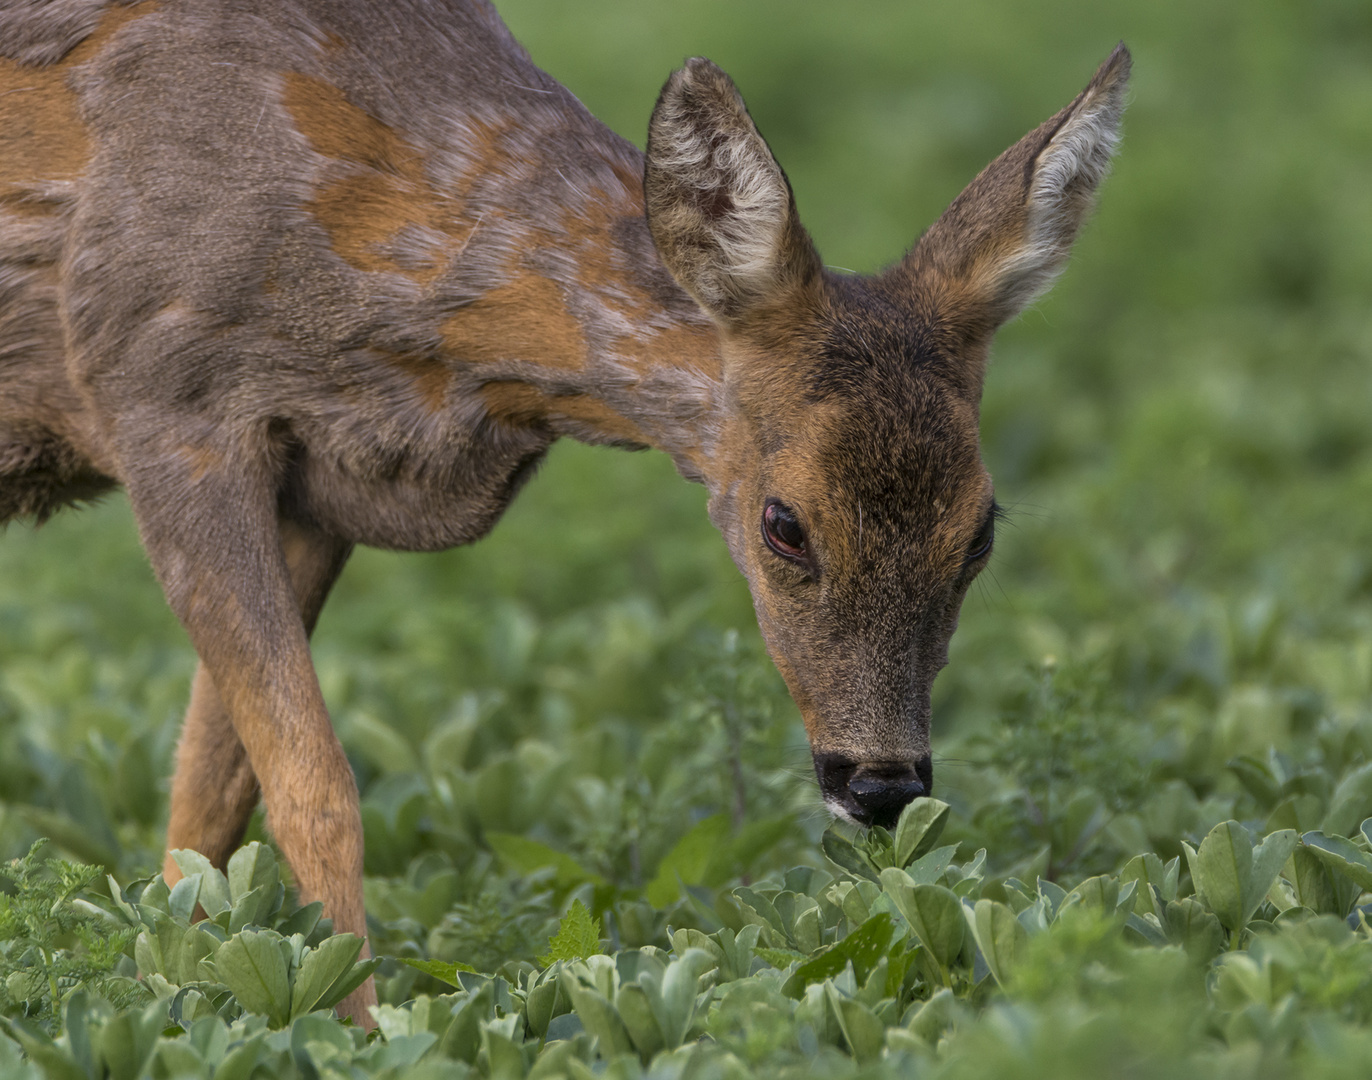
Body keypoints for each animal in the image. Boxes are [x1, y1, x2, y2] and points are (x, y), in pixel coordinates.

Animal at [0, 0, 1125, 1031]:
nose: (882, 781)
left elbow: (207, 793)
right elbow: (314, 784)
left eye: (979, 531)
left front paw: (184, 992)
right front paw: (350, 1026)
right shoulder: (163, 394)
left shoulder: (319, 485)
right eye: (785, 523)